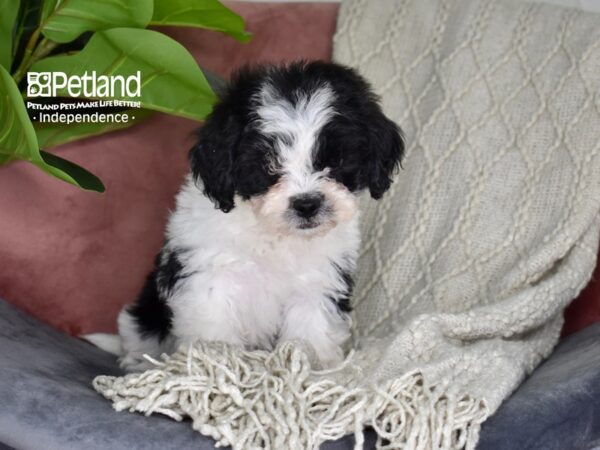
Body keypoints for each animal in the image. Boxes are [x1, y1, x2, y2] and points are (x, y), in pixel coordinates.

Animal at [88, 61, 404, 370]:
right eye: (267, 165)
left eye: (336, 161)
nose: (306, 204)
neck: (275, 237)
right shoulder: (209, 276)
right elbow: (214, 334)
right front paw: (214, 370)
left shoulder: (319, 282)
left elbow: (308, 334)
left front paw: (308, 368)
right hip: (146, 315)